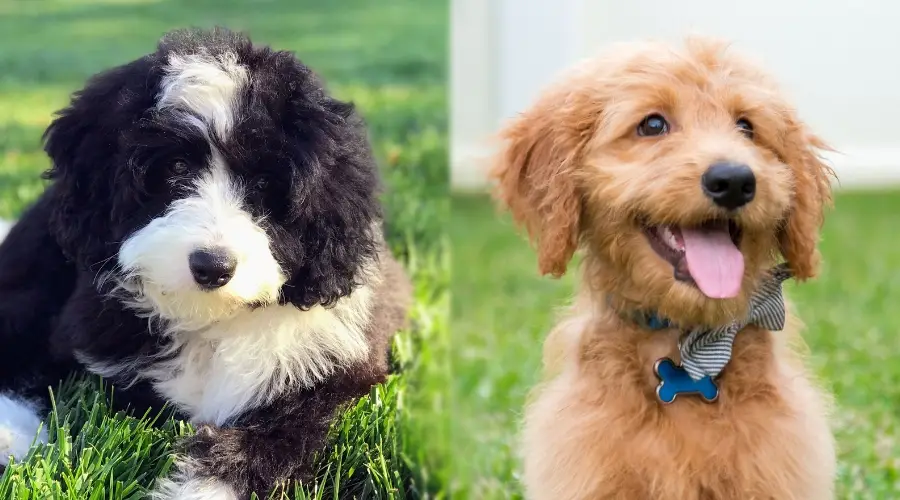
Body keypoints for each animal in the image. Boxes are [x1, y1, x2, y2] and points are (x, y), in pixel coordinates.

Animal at [0, 28, 414, 500]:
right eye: (176, 167)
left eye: (264, 183)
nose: (212, 266)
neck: (210, 320)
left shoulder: (334, 373)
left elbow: (277, 439)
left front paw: (206, 484)